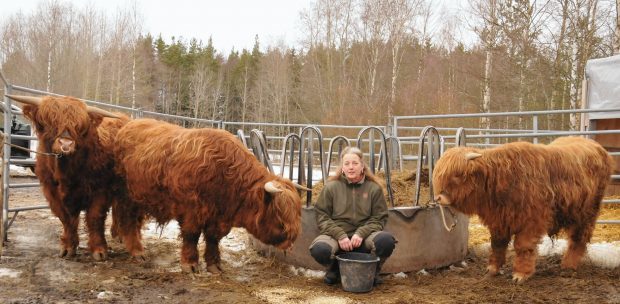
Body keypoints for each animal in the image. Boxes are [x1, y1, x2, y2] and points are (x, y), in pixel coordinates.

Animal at [4, 95, 143, 262]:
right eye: (51, 121)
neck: (66, 171)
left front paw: (99, 249)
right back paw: (117, 233)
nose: (66, 144)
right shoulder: (52, 192)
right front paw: (68, 247)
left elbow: (95, 218)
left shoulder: (100, 190)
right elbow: (66, 218)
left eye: (79, 127)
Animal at [113, 119, 306, 274]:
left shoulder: (219, 218)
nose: (291, 241)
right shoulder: (192, 211)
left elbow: (213, 239)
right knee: (128, 221)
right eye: (280, 217)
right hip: (126, 197)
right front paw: (190, 264)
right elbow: (191, 236)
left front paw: (214, 265)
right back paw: (137, 251)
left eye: (297, 213)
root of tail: (128, 124)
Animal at [434, 136, 612, 282]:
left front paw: (521, 274)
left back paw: (568, 266)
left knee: (578, 238)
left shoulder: (531, 220)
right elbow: (497, 244)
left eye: (458, 175)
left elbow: (522, 246)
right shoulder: (499, 220)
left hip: (587, 212)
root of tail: (597, 146)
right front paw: (493, 269)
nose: (438, 198)